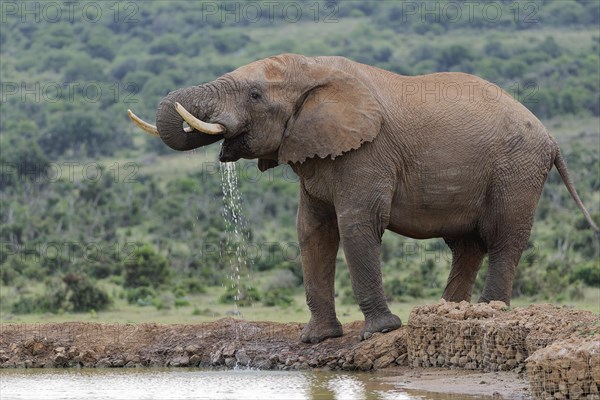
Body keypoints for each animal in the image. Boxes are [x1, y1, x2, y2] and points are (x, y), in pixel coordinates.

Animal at [129, 53, 596, 344]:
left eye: (256, 95)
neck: (312, 70)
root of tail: (550, 136)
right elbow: (312, 231)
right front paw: (316, 339)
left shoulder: (367, 152)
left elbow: (357, 224)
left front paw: (382, 331)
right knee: (466, 244)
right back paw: (445, 312)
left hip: (517, 170)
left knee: (502, 239)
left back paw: (489, 312)